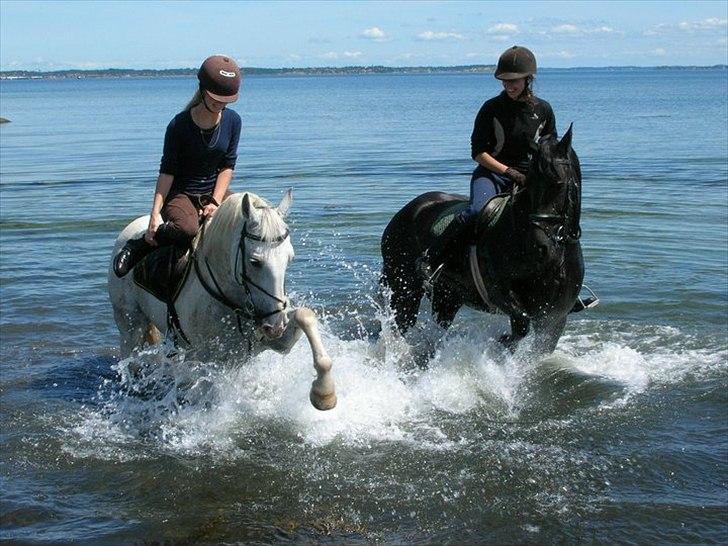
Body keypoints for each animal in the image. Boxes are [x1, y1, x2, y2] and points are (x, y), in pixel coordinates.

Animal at [106, 191, 336, 408]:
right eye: (254, 262)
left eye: (290, 258)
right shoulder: (208, 360)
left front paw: (324, 394)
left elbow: (305, 316)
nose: (275, 325)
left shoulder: (275, 343)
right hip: (130, 323)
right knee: (131, 359)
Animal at [382, 125, 584, 350]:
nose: (540, 246)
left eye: (558, 183)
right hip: (404, 287)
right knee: (401, 324)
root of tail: (407, 211)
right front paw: (501, 342)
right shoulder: (498, 293)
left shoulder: (554, 317)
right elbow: (521, 323)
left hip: (447, 296)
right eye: (529, 184)